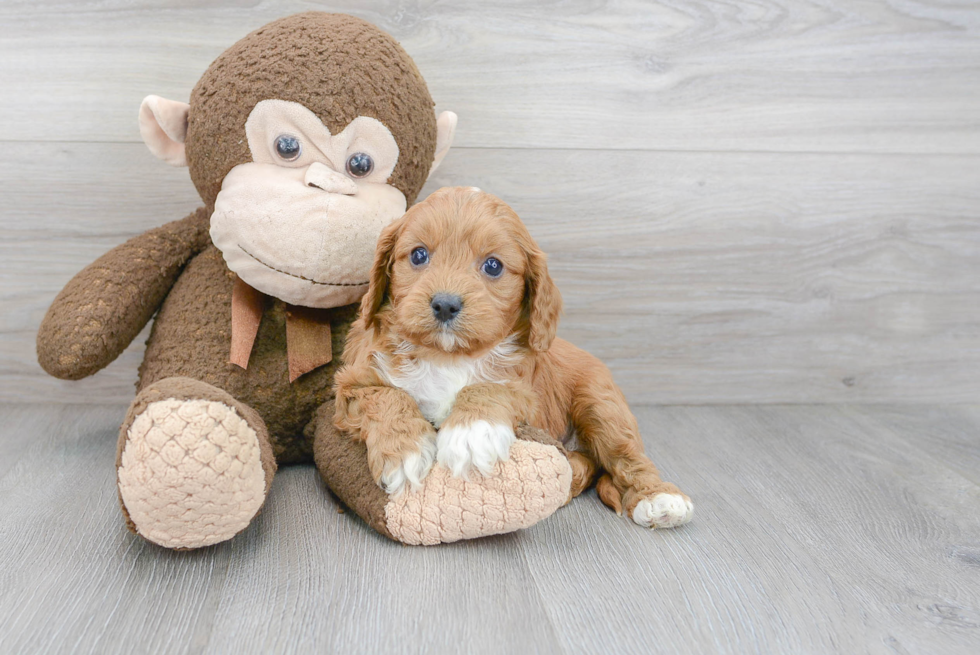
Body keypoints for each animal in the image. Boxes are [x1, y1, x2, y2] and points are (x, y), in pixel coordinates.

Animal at [334, 187, 692, 532]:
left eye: (493, 265)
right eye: (419, 255)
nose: (445, 305)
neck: (448, 356)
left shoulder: (527, 390)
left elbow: (488, 387)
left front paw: (471, 434)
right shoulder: (352, 383)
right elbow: (386, 395)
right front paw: (405, 451)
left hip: (601, 404)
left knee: (626, 456)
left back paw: (659, 499)